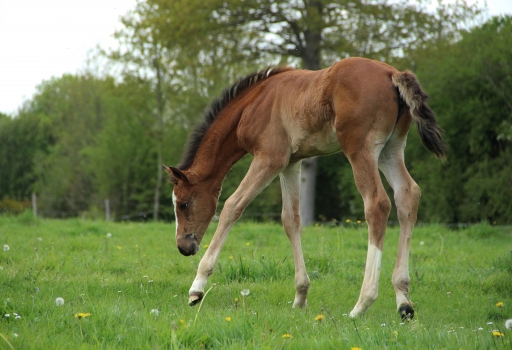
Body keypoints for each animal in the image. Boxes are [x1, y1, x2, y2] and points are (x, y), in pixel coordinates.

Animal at [165, 56, 448, 318]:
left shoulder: (270, 158)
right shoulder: (290, 163)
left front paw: (197, 288)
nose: (183, 247)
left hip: (360, 149)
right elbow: (291, 220)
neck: (253, 104)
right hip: (391, 149)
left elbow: (232, 206)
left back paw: (362, 304)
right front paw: (300, 297)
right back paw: (404, 301)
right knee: (408, 195)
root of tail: (393, 74)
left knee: (377, 204)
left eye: (184, 203)